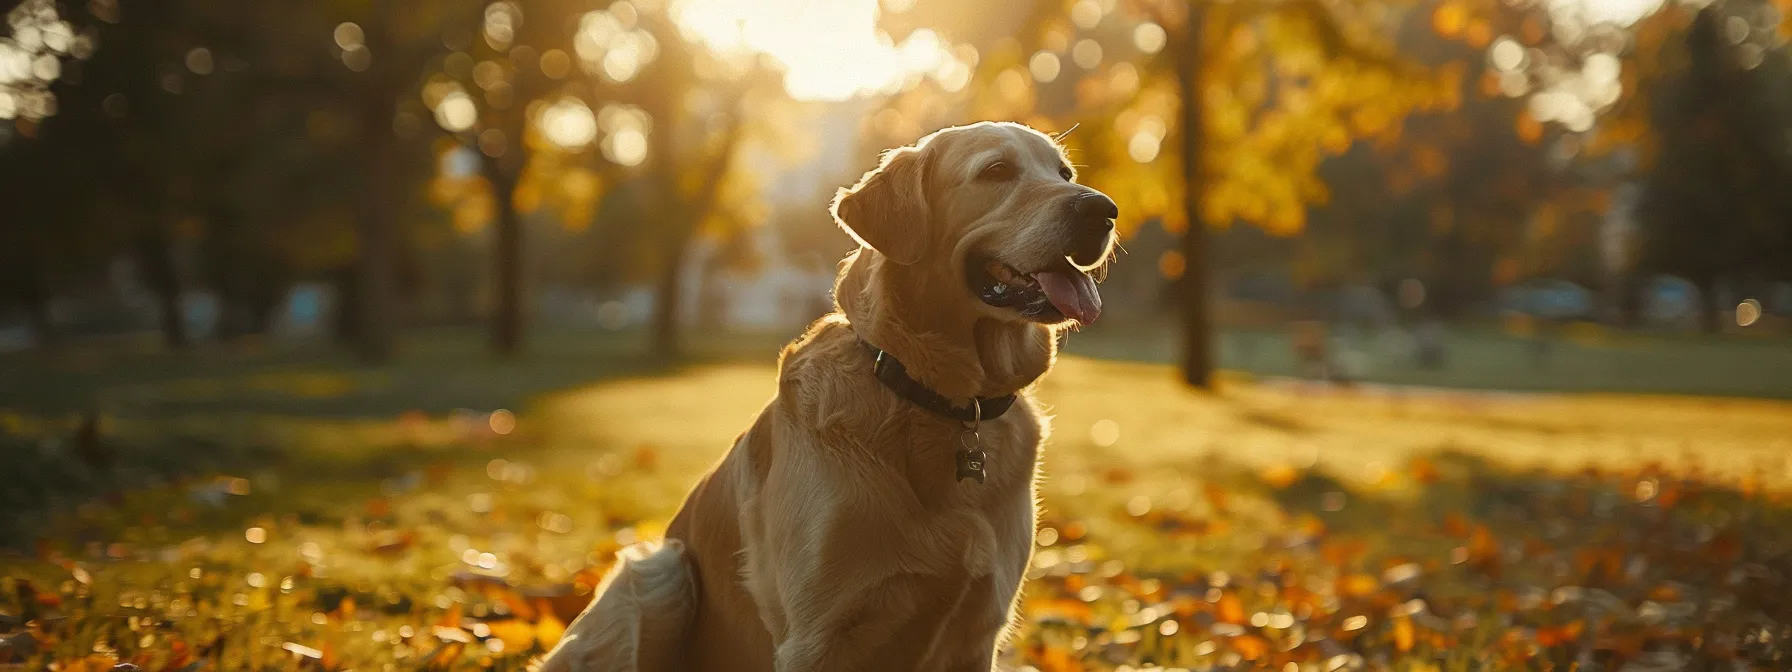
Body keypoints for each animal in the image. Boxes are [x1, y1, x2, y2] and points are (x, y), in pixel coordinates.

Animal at [537, 122, 1111, 672]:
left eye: (1064, 173)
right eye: (996, 171)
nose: (1103, 210)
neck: (941, 401)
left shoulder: (977, 631)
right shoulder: (816, 638)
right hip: (657, 571)